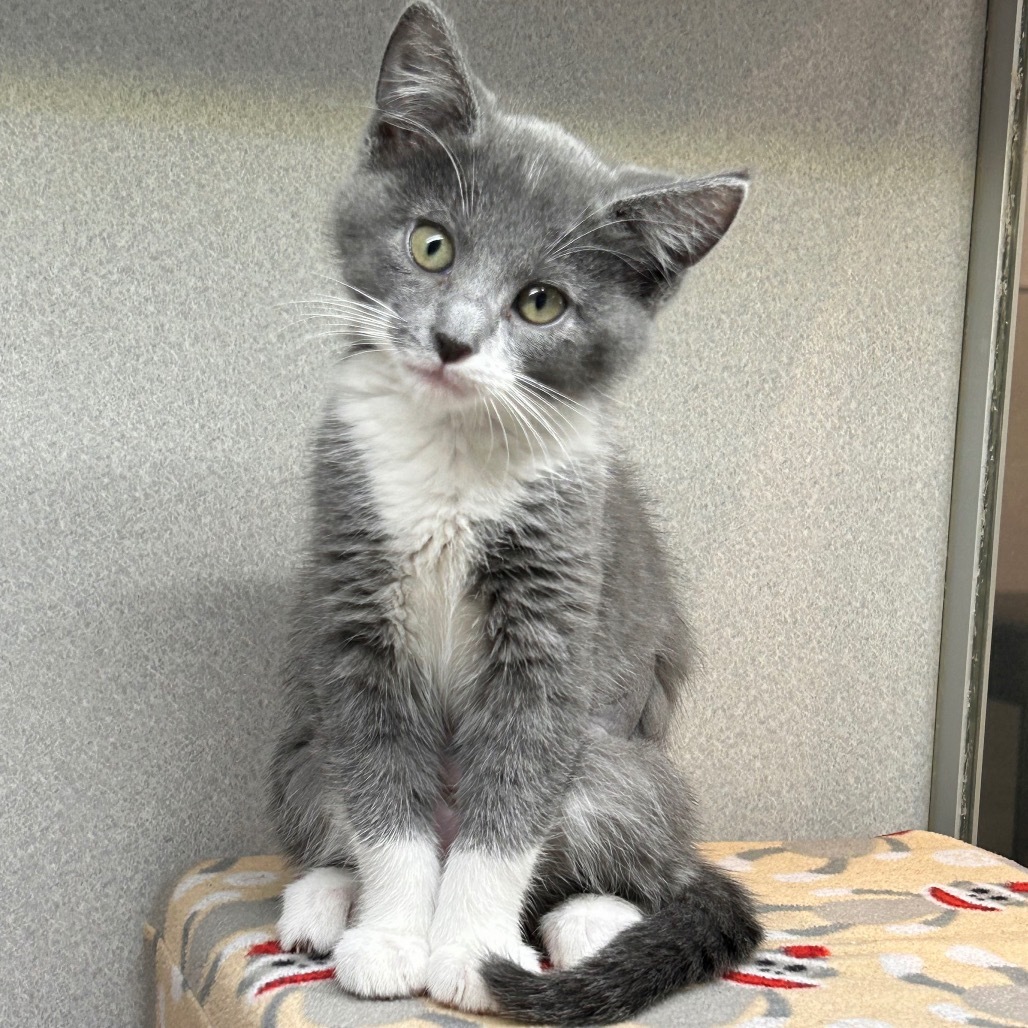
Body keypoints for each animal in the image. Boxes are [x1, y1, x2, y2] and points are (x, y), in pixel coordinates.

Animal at [267, 4, 764, 1023]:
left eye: (541, 303)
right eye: (432, 245)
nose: (453, 339)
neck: (454, 455)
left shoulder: (555, 601)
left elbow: (514, 793)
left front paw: (467, 951)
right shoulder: (352, 598)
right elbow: (381, 784)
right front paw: (391, 936)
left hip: (622, 762)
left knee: (625, 852)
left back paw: (591, 920)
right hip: (302, 752)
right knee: (335, 794)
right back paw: (324, 900)